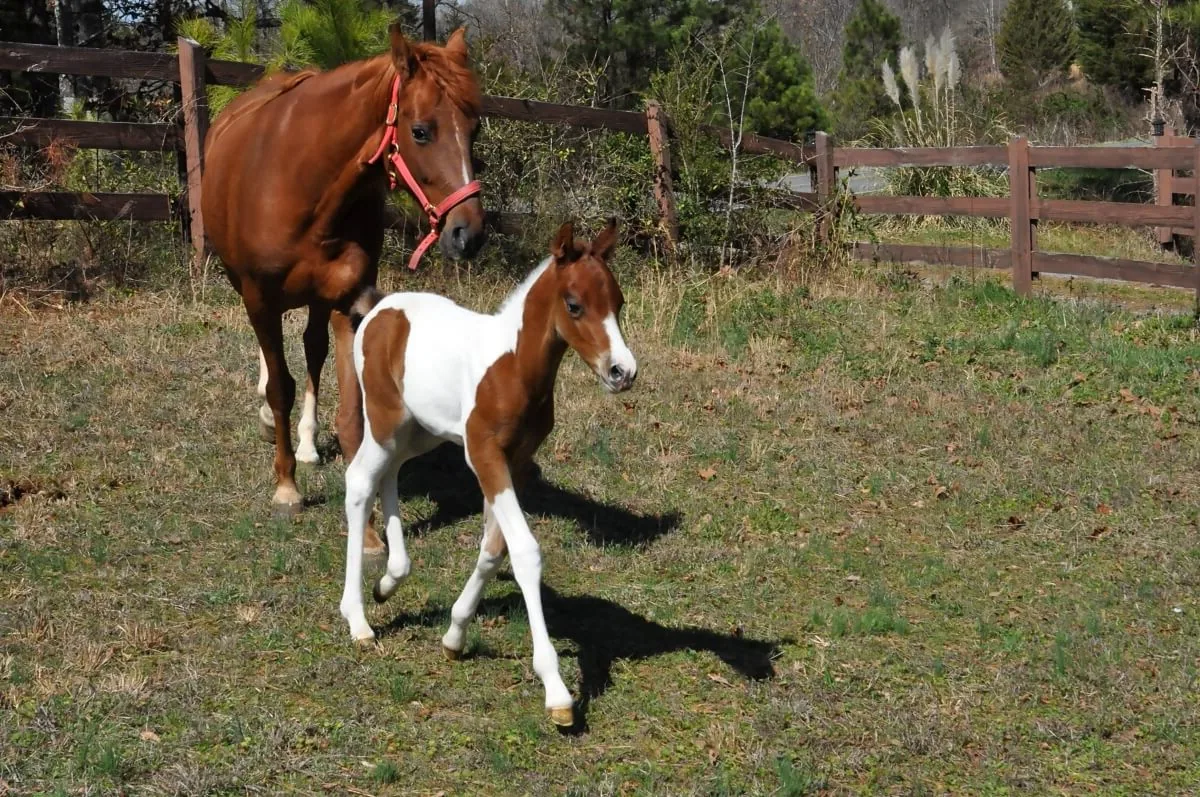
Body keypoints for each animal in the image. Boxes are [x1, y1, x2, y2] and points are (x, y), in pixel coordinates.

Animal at [201, 22, 486, 549]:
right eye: (420, 131)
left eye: (473, 129)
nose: (468, 233)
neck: (303, 183)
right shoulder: (260, 298)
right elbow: (281, 388)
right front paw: (287, 488)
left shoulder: (350, 305)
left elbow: (352, 413)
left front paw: (369, 532)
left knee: (312, 351)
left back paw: (309, 443)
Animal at [338, 219, 637, 727]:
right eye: (574, 305)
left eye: (618, 302)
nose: (622, 371)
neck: (513, 367)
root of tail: (380, 308)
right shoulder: (483, 454)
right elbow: (525, 551)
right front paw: (556, 690)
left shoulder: (514, 460)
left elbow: (494, 548)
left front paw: (455, 635)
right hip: (383, 419)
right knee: (360, 481)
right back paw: (357, 617)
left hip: (419, 429)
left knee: (391, 471)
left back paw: (390, 580)